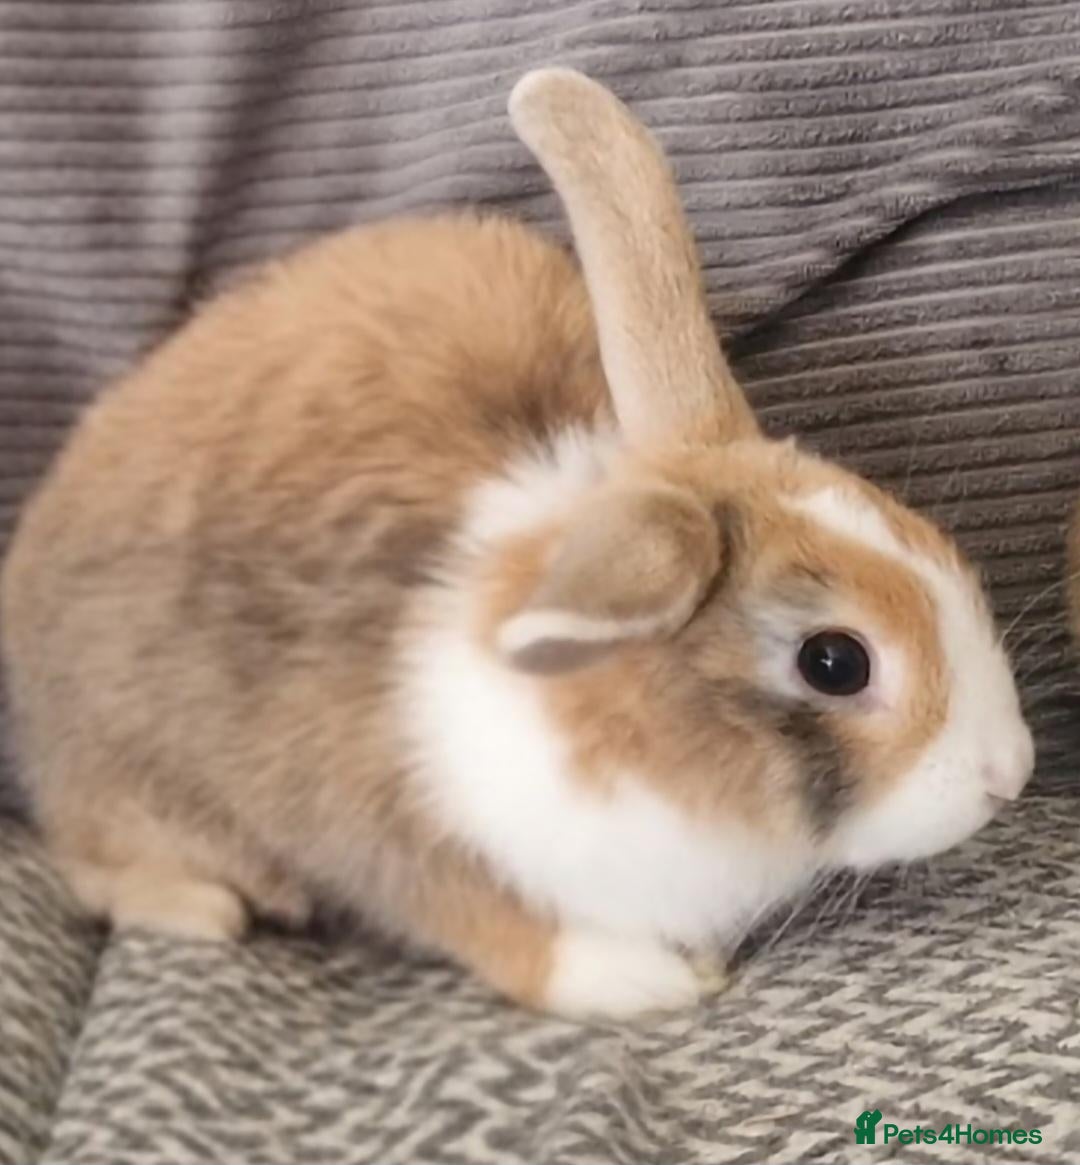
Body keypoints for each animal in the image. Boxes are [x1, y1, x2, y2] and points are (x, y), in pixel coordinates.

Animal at [1, 68, 1034, 1020]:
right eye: (835, 660)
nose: (1011, 772)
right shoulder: (378, 819)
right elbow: (489, 923)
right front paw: (643, 979)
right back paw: (210, 907)